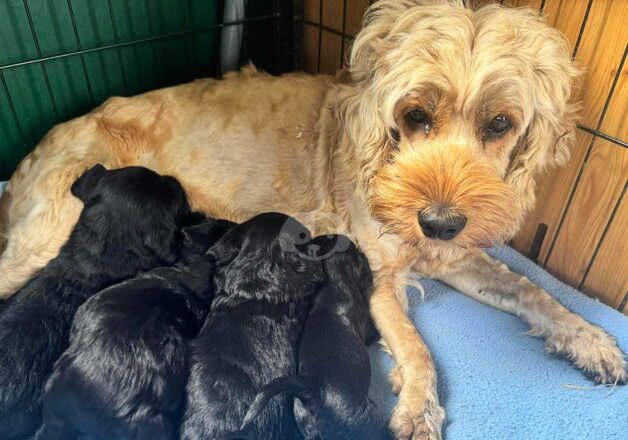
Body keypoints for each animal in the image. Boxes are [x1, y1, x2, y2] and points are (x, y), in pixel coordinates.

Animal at [228, 237, 390, 440]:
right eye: (358, 255)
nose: (364, 254)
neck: (332, 280)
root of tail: (310, 389)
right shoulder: (368, 328)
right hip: (368, 417)